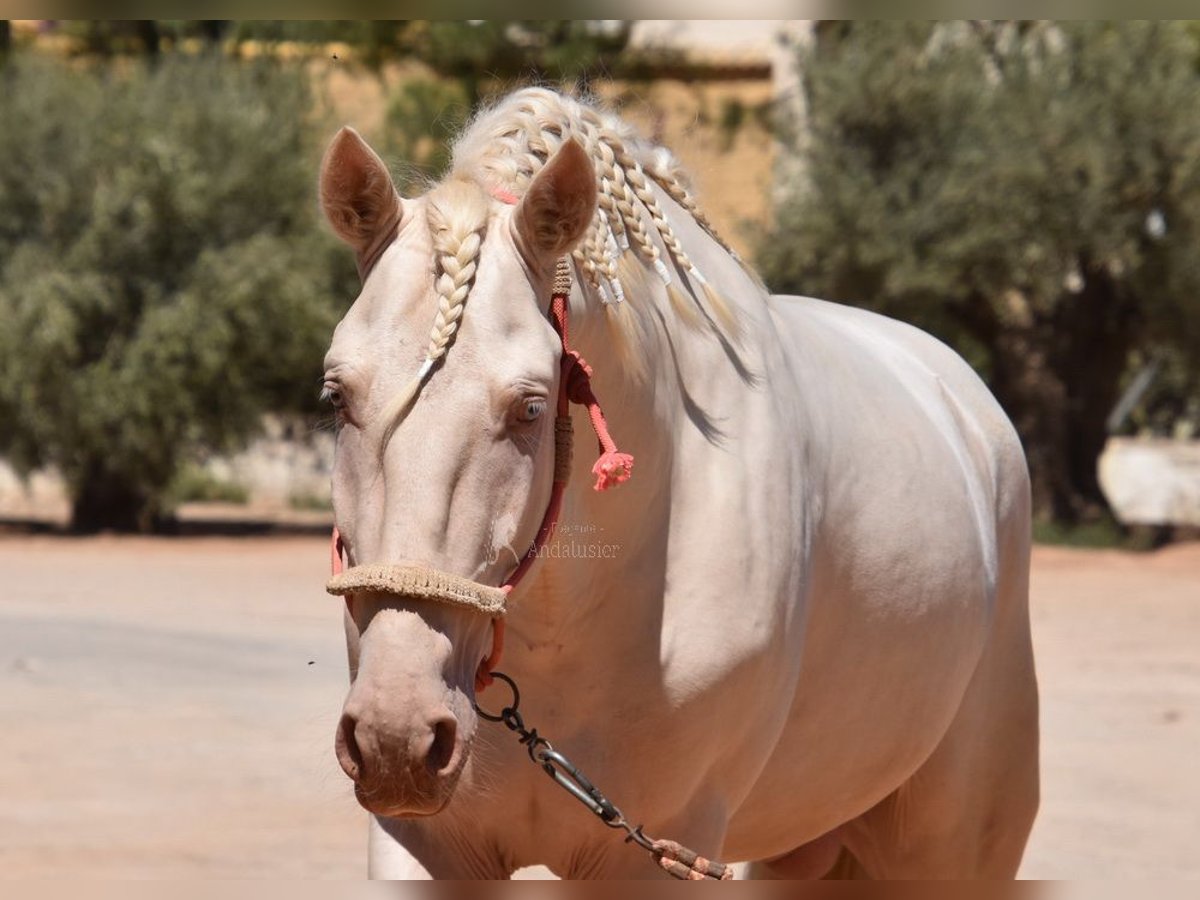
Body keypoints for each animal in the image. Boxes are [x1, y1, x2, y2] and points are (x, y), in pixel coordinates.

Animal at [319, 90, 1041, 883]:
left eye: (531, 407)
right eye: (335, 395)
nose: (397, 738)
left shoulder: (655, 850)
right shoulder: (425, 846)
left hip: (956, 842)